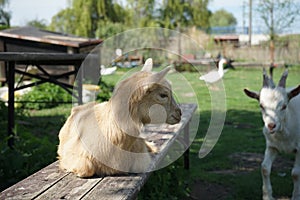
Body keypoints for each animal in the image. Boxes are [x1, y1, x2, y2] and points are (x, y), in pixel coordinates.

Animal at [244, 69, 300, 200]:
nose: (271, 125)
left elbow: (295, 173)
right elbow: (264, 168)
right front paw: (267, 196)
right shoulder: (271, 146)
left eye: (284, 106)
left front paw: (296, 196)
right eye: (261, 105)